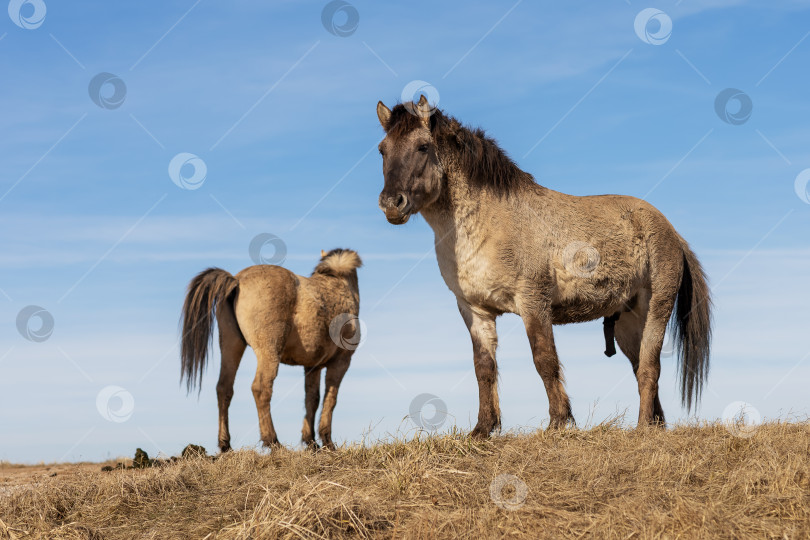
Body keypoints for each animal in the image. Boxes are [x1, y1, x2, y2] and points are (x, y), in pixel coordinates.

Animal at [180, 248, 363, 451]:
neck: (339, 285)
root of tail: (237, 280)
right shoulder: (341, 362)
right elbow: (330, 399)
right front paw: (327, 442)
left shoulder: (312, 366)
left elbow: (312, 399)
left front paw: (311, 441)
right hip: (268, 352)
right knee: (261, 388)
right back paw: (273, 441)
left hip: (231, 346)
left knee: (224, 388)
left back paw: (225, 445)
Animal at [375, 96, 711, 437]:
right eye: (382, 149)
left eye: (423, 146)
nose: (391, 203)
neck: (490, 222)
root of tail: (671, 231)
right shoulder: (475, 310)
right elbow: (484, 367)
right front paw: (483, 429)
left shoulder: (533, 303)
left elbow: (544, 360)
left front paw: (558, 422)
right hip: (627, 321)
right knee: (640, 365)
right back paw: (655, 426)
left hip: (655, 308)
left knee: (649, 367)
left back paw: (642, 428)